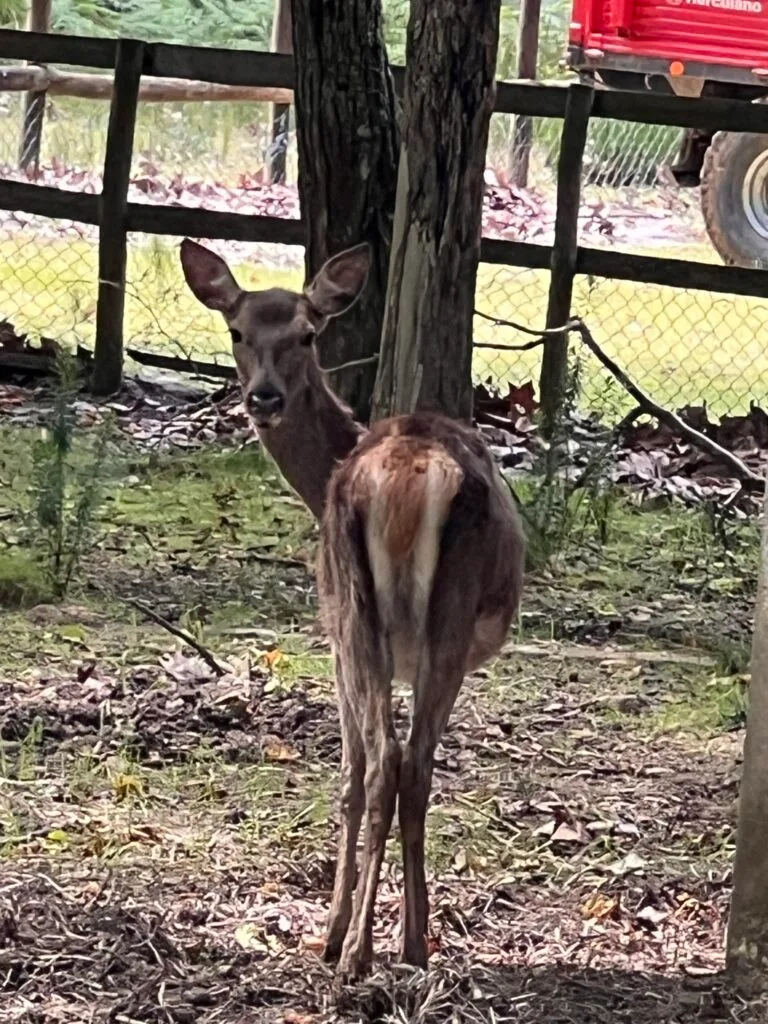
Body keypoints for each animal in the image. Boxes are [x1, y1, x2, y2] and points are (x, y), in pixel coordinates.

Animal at [179, 238, 525, 981]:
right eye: (237, 331)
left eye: (308, 335)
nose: (265, 398)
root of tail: (411, 477)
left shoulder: (333, 637)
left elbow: (347, 779)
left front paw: (331, 933)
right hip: (433, 626)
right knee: (412, 763)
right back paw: (410, 944)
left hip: (359, 613)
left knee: (382, 764)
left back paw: (355, 949)